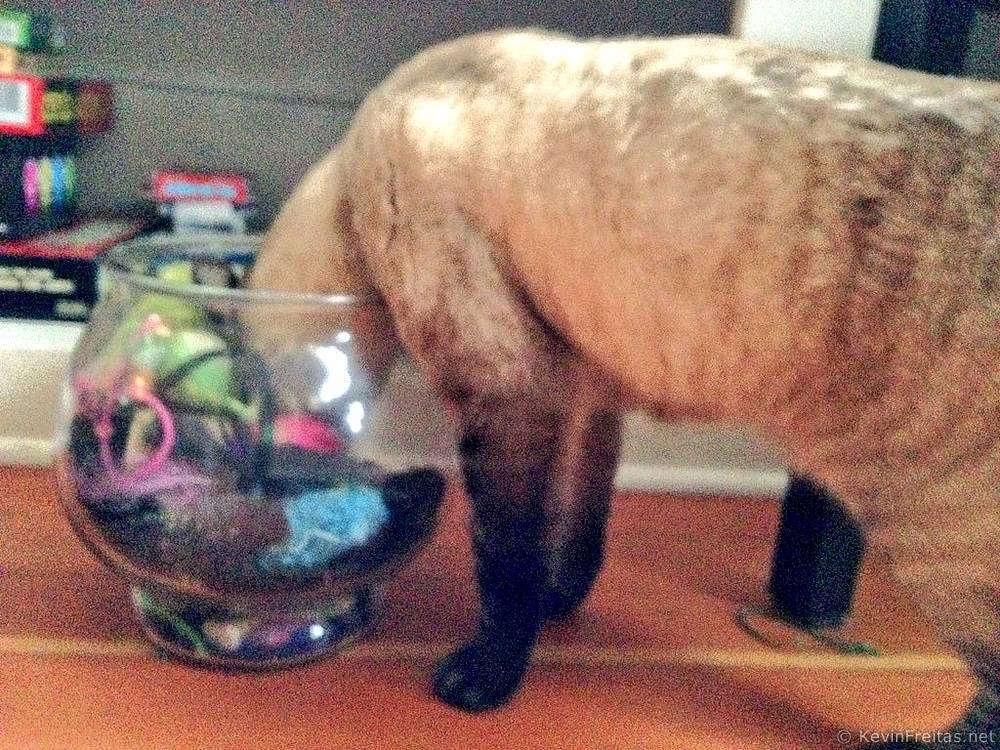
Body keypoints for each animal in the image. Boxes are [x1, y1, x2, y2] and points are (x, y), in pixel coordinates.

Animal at [249, 29, 1000, 748]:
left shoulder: (510, 393)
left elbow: (506, 558)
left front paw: (485, 678)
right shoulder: (585, 397)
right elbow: (576, 525)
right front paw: (559, 601)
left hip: (936, 529)